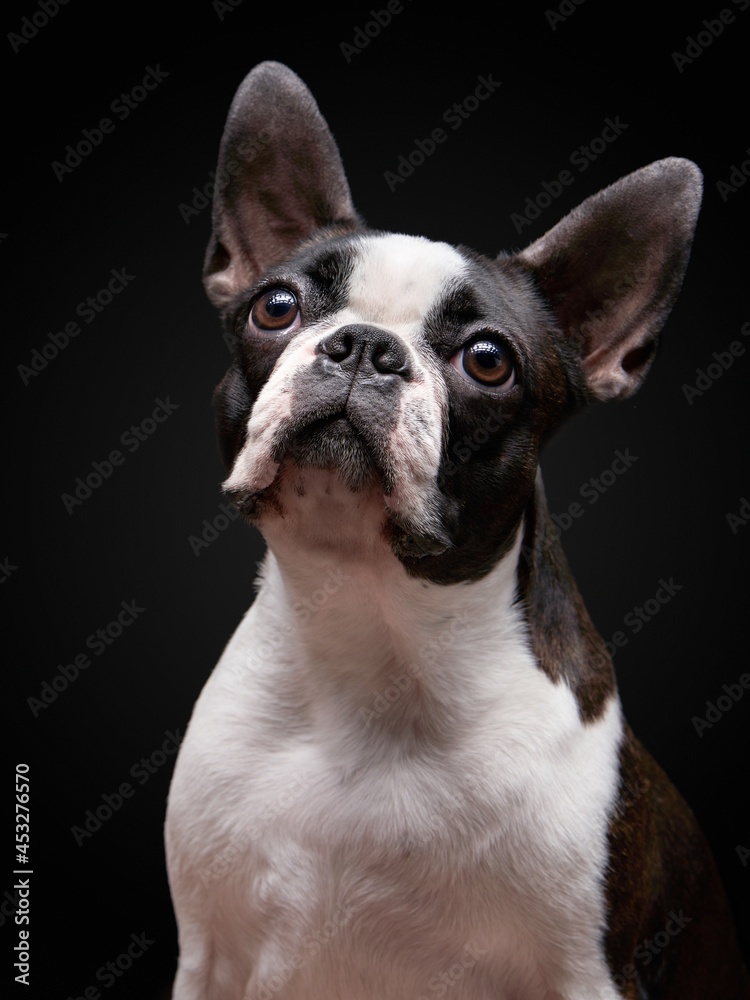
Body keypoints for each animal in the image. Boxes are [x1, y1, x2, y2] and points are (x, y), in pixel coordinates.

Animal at [166, 64, 750, 1000]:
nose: (364, 346)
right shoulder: (210, 956)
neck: (372, 630)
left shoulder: (586, 975)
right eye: (276, 307)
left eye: (487, 360)